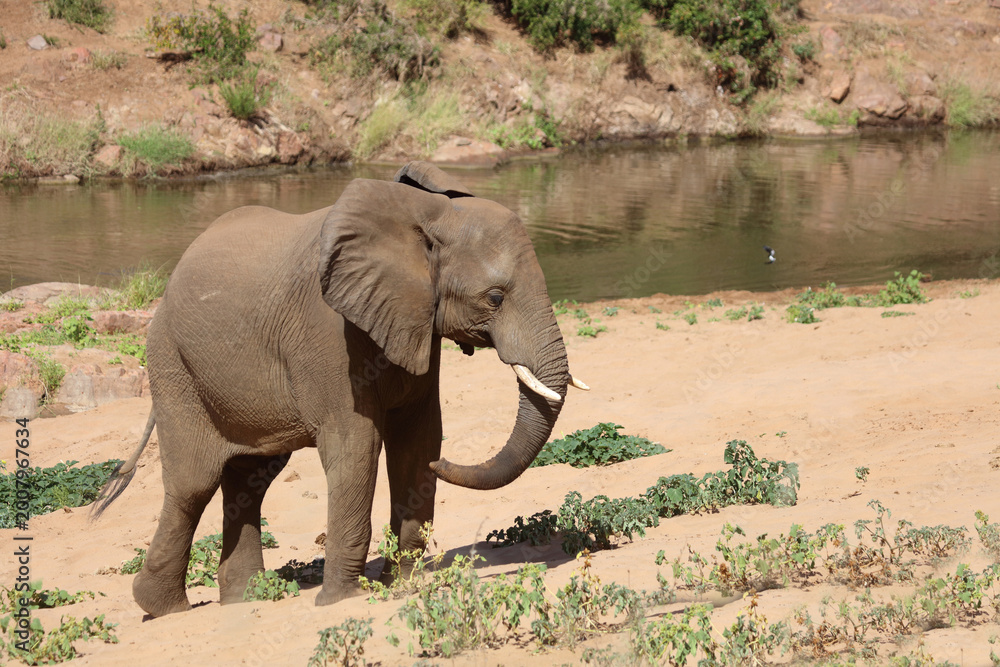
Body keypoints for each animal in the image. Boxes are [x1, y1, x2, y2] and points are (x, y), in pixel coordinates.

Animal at [91, 161, 588, 618]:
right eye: (495, 298)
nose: (446, 467)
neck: (424, 215)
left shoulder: (413, 322)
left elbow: (418, 440)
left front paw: (400, 584)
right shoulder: (327, 333)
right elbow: (356, 446)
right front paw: (344, 600)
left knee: (251, 479)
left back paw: (247, 600)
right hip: (173, 367)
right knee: (193, 484)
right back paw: (163, 608)